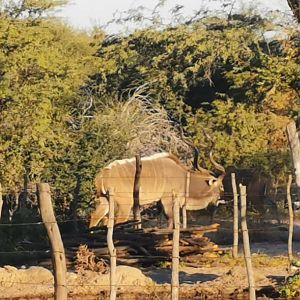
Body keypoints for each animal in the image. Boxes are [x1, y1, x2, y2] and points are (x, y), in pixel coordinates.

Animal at [89, 149, 225, 229]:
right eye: (221, 186)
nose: (217, 201)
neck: (183, 176)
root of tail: (103, 175)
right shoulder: (167, 200)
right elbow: (171, 219)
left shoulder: (160, 202)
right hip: (125, 205)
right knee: (117, 222)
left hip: (104, 201)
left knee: (95, 217)